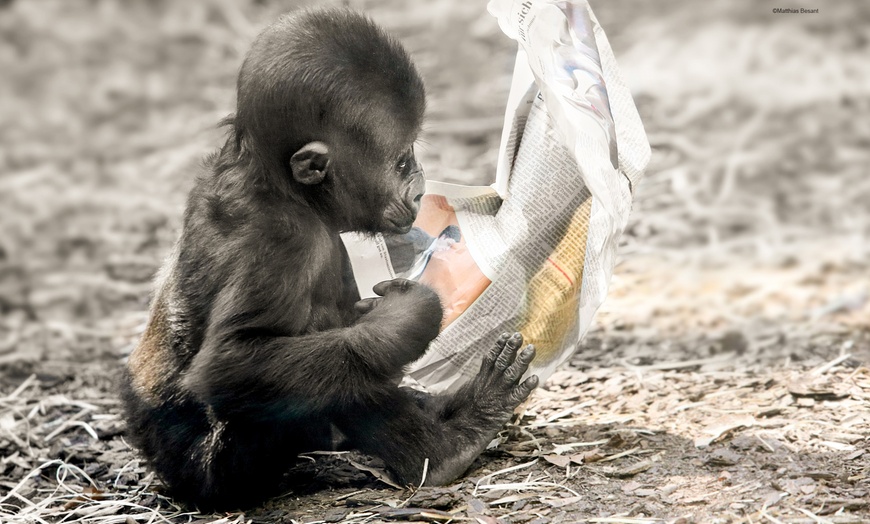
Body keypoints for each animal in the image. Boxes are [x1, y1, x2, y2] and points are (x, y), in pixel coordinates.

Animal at [117, 8, 540, 510]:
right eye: (401, 162)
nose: (420, 188)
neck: (281, 184)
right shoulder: (282, 239)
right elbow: (232, 360)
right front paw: (405, 320)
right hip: (214, 471)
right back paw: (445, 448)